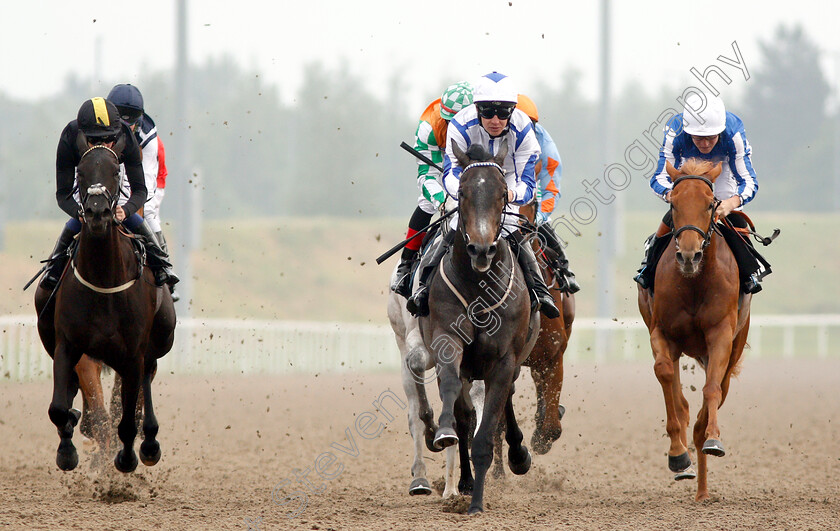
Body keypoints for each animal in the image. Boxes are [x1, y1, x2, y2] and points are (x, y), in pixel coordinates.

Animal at [34, 134, 176, 474]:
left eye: (115, 171)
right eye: (81, 171)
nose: (97, 213)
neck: (103, 280)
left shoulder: (133, 353)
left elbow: (126, 417)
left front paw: (125, 458)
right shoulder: (70, 345)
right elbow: (60, 408)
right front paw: (68, 450)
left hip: (156, 342)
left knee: (145, 383)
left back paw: (148, 443)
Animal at [418, 142, 540, 516]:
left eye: (502, 194)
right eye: (461, 192)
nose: (482, 249)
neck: (478, 284)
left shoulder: (503, 360)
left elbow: (486, 434)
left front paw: (476, 505)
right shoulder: (448, 341)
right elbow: (455, 402)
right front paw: (444, 432)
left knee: (505, 403)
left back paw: (518, 455)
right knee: (466, 414)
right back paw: (465, 478)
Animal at [640, 159, 752, 502]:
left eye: (710, 204)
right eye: (673, 205)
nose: (689, 256)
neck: (694, 282)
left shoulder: (720, 335)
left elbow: (711, 390)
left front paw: (713, 438)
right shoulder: (662, 332)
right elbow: (665, 375)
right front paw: (678, 455)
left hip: (735, 345)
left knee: (716, 392)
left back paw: (703, 483)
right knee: (682, 402)